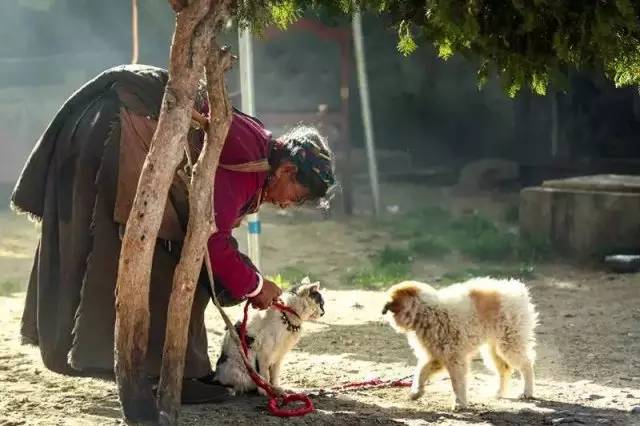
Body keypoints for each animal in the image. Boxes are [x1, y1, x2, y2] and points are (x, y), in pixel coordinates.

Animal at [382, 276, 536, 410]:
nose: (383, 309)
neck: (427, 311)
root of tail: (516, 289)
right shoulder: (437, 357)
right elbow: (420, 372)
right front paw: (416, 392)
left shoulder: (454, 358)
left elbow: (457, 383)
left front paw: (459, 403)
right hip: (493, 349)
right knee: (504, 369)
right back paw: (498, 392)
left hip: (509, 345)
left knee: (526, 365)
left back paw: (527, 392)